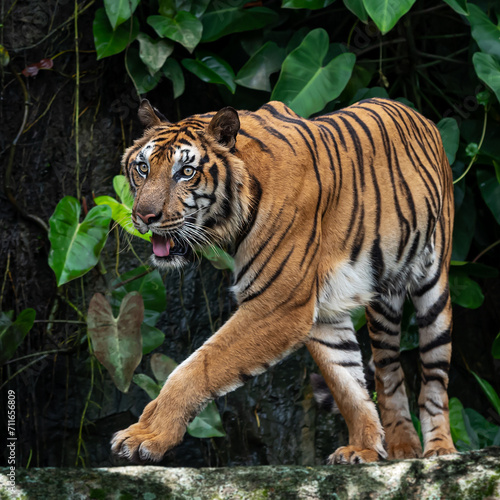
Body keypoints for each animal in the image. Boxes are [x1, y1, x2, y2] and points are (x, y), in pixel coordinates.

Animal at [111, 95, 456, 462]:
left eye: (185, 172)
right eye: (143, 168)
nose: (143, 216)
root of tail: (418, 114)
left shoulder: (277, 306)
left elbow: (196, 368)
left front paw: (149, 436)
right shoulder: (321, 312)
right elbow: (347, 384)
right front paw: (364, 447)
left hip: (433, 287)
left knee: (434, 375)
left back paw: (439, 449)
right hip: (380, 302)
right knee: (388, 371)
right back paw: (403, 449)